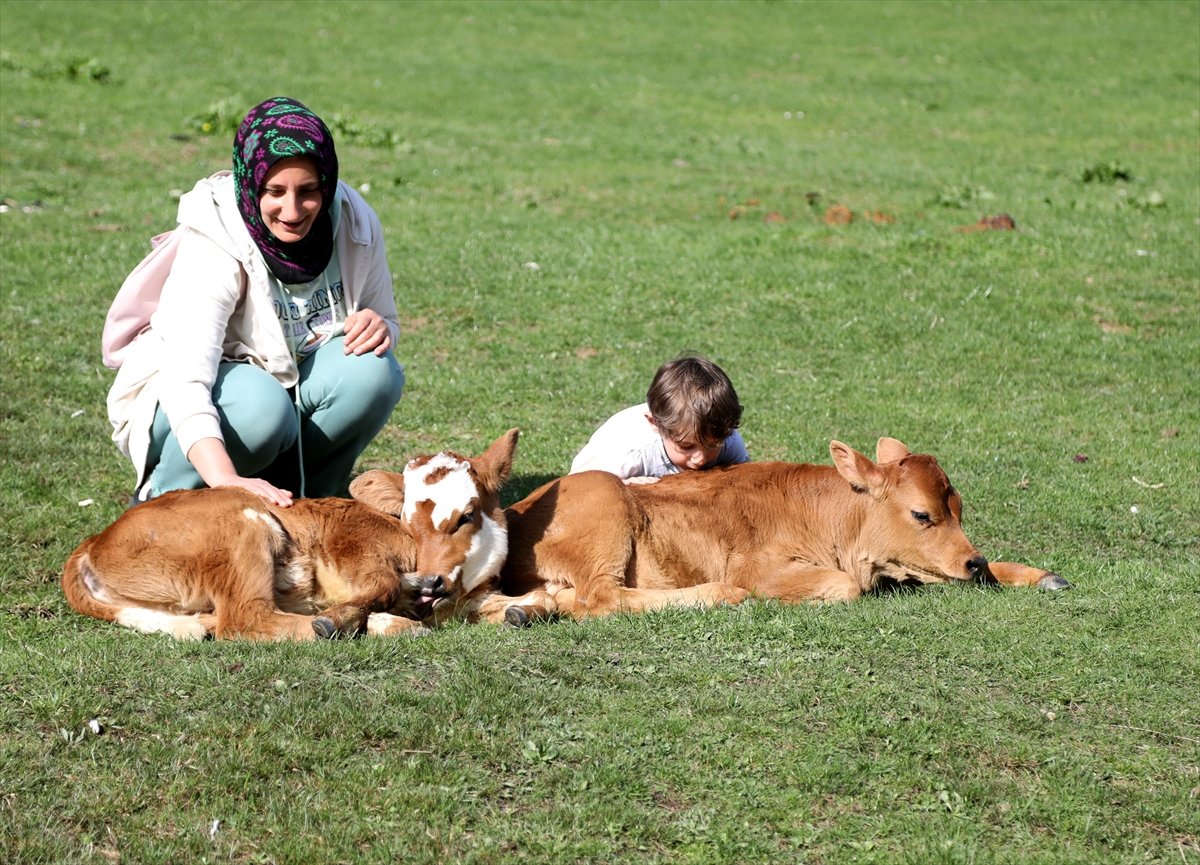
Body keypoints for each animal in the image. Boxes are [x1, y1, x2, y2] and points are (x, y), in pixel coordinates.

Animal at [59, 429, 520, 638]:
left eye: (467, 515)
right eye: (408, 516)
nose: (432, 580)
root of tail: (96, 540)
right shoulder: (353, 548)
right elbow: (381, 586)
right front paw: (342, 618)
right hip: (241, 526)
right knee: (244, 619)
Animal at [451, 434, 1070, 623]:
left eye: (959, 508)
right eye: (922, 514)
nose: (970, 560)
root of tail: (518, 508)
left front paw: (1037, 574)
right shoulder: (768, 570)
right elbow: (844, 587)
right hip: (606, 506)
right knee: (601, 597)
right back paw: (720, 594)